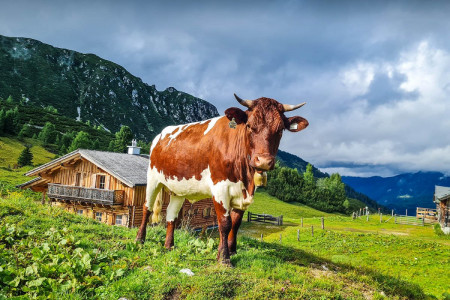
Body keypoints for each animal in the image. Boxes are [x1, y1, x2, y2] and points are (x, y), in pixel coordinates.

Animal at [135, 94, 308, 264]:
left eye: (280, 129)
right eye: (249, 126)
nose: (264, 161)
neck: (246, 178)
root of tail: (161, 134)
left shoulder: (243, 194)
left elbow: (236, 223)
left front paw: (232, 250)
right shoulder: (220, 188)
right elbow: (225, 223)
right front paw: (224, 257)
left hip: (178, 188)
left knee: (171, 215)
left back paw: (169, 246)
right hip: (153, 179)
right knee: (146, 208)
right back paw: (140, 240)